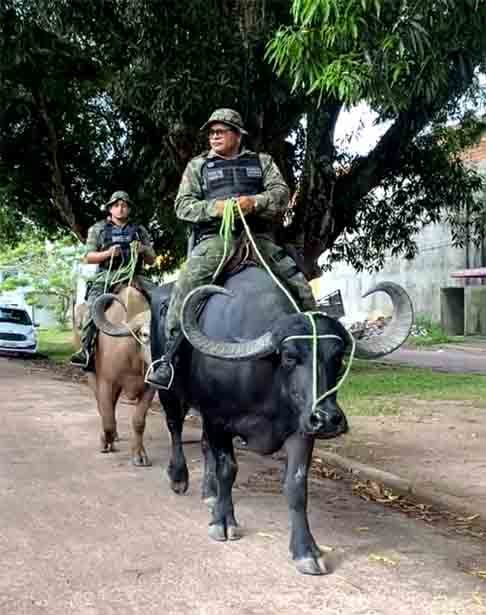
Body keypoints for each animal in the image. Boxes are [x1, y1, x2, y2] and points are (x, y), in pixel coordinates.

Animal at [75, 286, 154, 464]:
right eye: (145, 334)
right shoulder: (107, 382)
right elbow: (107, 417)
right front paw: (105, 441)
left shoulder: (150, 388)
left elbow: (139, 421)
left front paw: (139, 454)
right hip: (92, 376)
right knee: (104, 407)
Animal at [96, 266, 414, 576]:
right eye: (289, 357)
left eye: (338, 357)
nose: (327, 419)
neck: (262, 379)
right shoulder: (218, 419)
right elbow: (228, 468)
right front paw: (223, 522)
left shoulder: (300, 428)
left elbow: (296, 485)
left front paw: (306, 551)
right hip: (169, 392)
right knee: (175, 428)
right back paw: (179, 478)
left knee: (203, 446)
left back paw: (209, 493)